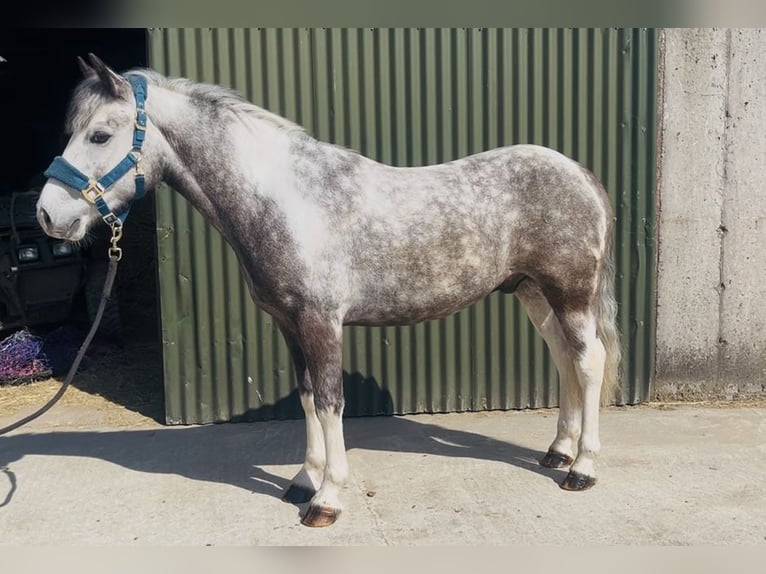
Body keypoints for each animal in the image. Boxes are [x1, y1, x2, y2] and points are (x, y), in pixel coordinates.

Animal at [36, 53, 620, 528]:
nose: (48, 215)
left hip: (570, 294)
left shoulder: (321, 322)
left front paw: (328, 499)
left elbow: (331, 400)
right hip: (535, 295)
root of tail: (581, 174)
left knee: (588, 362)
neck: (285, 200)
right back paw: (557, 451)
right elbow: (307, 399)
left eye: (100, 135)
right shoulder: (289, 323)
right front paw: (303, 480)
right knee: (564, 360)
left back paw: (582, 469)